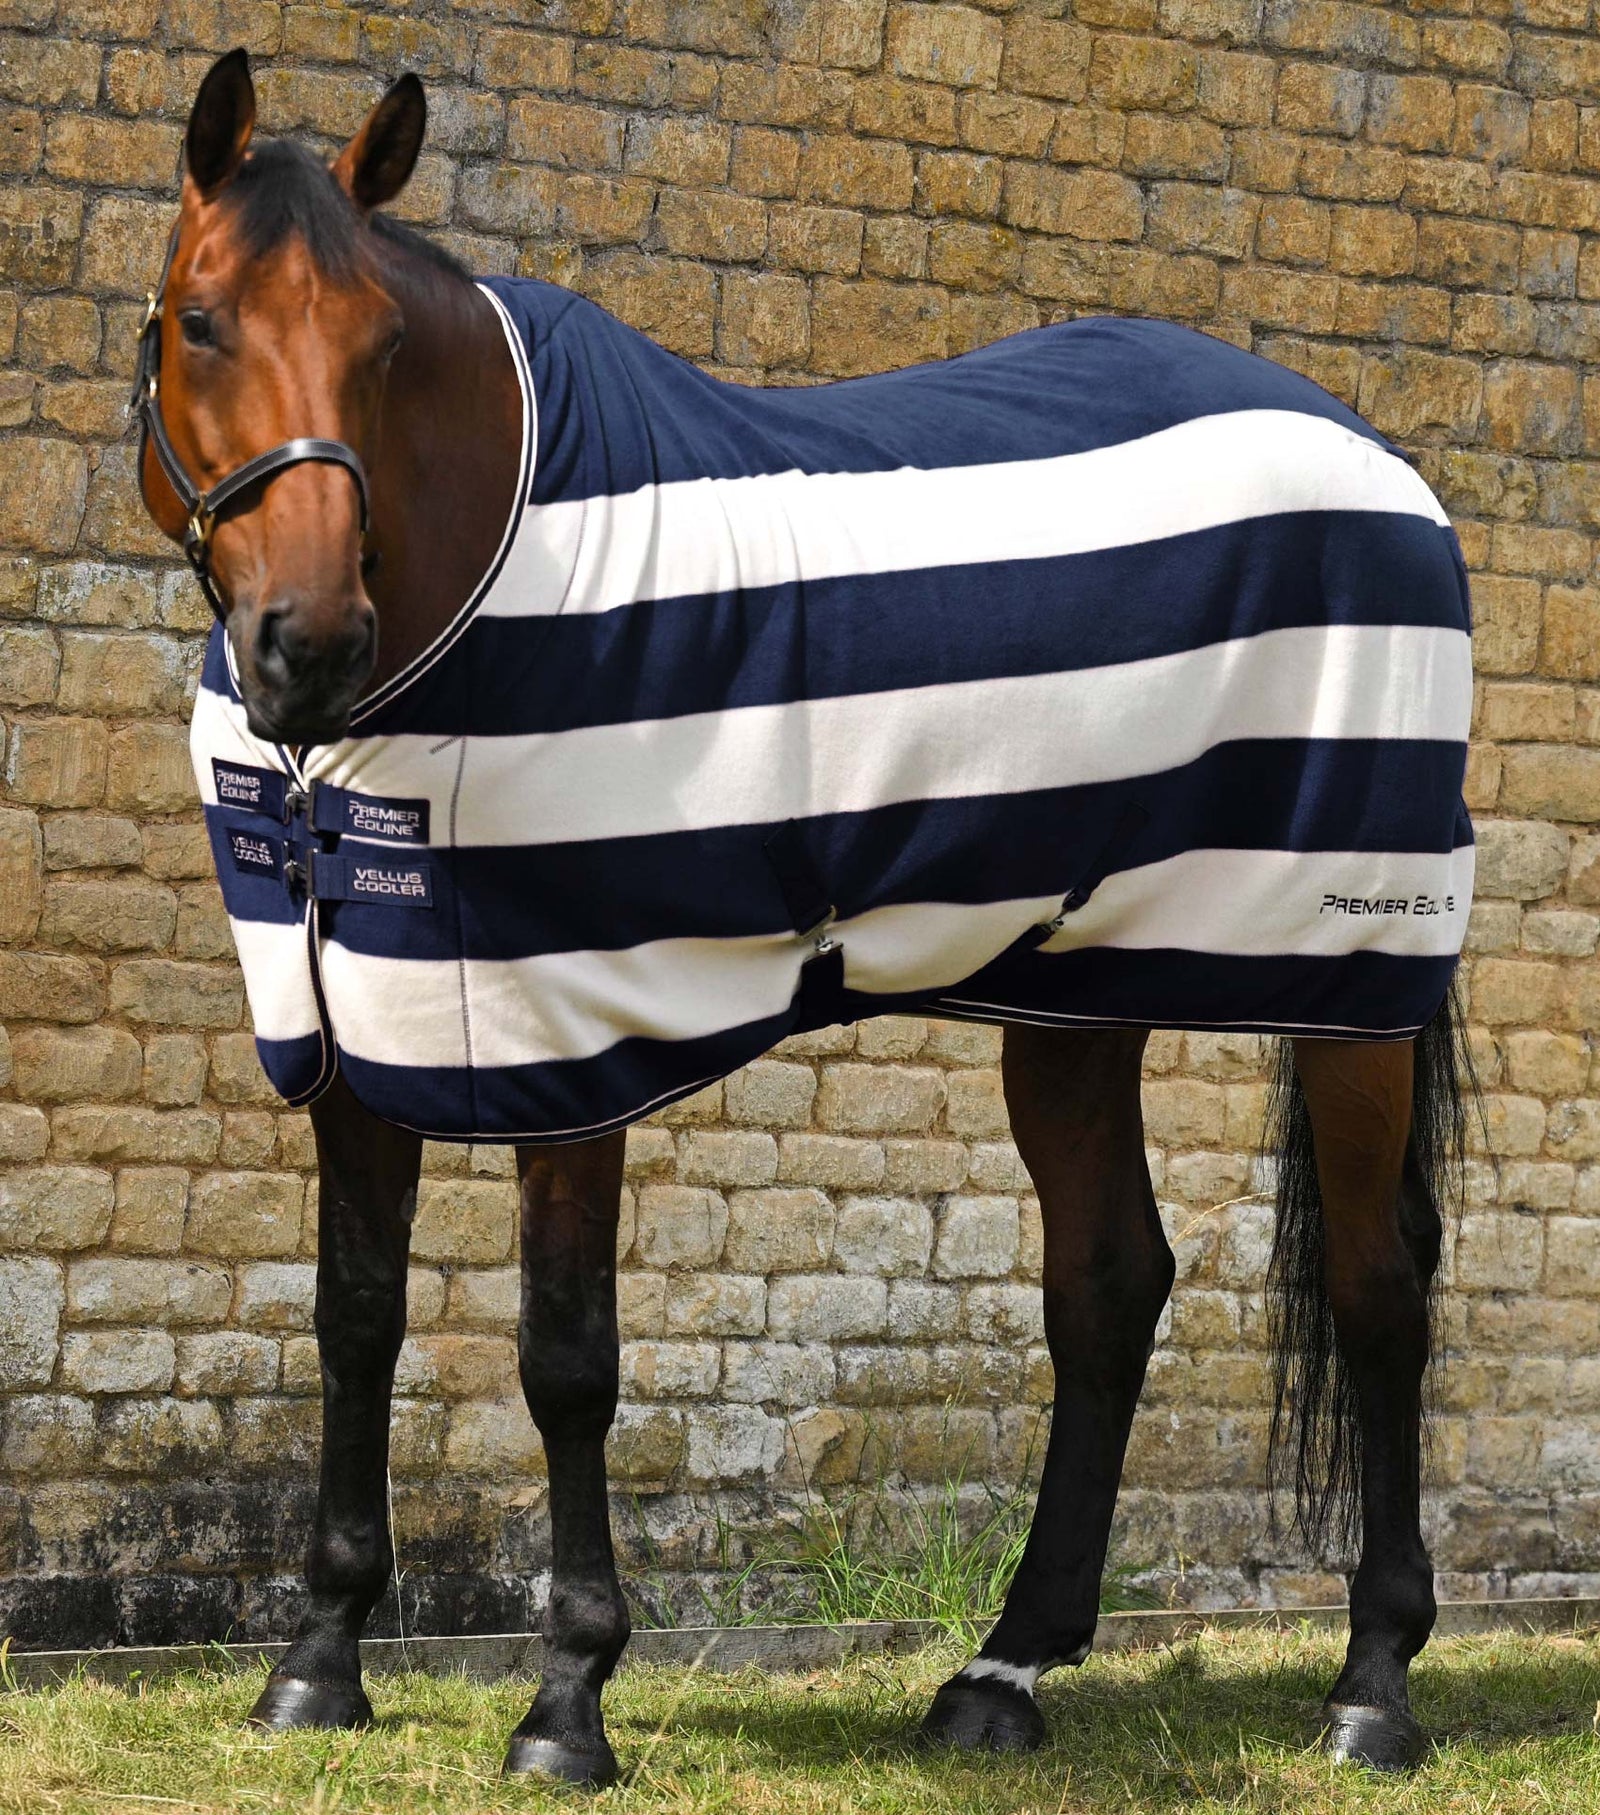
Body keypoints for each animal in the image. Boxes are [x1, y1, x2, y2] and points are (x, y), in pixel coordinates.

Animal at [133, 49, 1475, 1785]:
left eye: (385, 345)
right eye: (201, 321)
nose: (308, 644)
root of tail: (1383, 463)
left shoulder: (574, 1029)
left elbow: (566, 1356)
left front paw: (567, 1697)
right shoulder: (353, 1021)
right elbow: (353, 1315)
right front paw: (317, 1658)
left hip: (1348, 975)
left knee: (1380, 1288)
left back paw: (1373, 1682)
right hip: (1078, 984)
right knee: (1110, 1281)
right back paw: (1003, 1669)